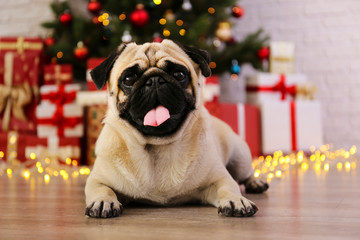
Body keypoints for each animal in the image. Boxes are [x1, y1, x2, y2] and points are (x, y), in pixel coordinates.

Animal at [84, 39, 268, 218]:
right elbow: (101, 188)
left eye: (179, 75)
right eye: (129, 79)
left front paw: (236, 200)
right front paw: (103, 201)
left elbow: (228, 186)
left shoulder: (219, 177)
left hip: (240, 158)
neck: (158, 147)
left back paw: (255, 183)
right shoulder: (98, 179)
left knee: (246, 174)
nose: (154, 80)